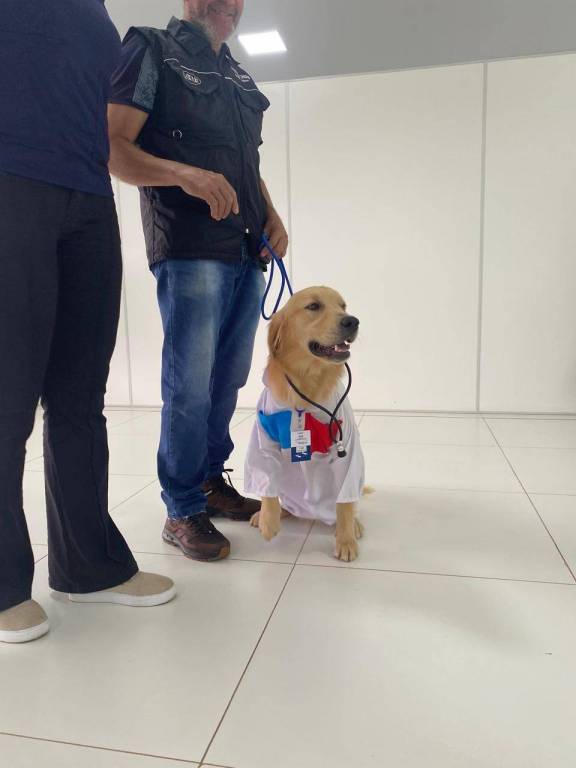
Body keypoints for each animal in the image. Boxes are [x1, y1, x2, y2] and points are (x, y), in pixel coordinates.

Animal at [244, 286, 366, 561]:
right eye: (313, 306)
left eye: (343, 305)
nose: (352, 321)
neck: (307, 381)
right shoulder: (263, 437)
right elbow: (266, 482)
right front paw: (268, 519)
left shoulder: (347, 444)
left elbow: (345, 503)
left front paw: (346, 540)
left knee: (348, 504)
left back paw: (353, 525)